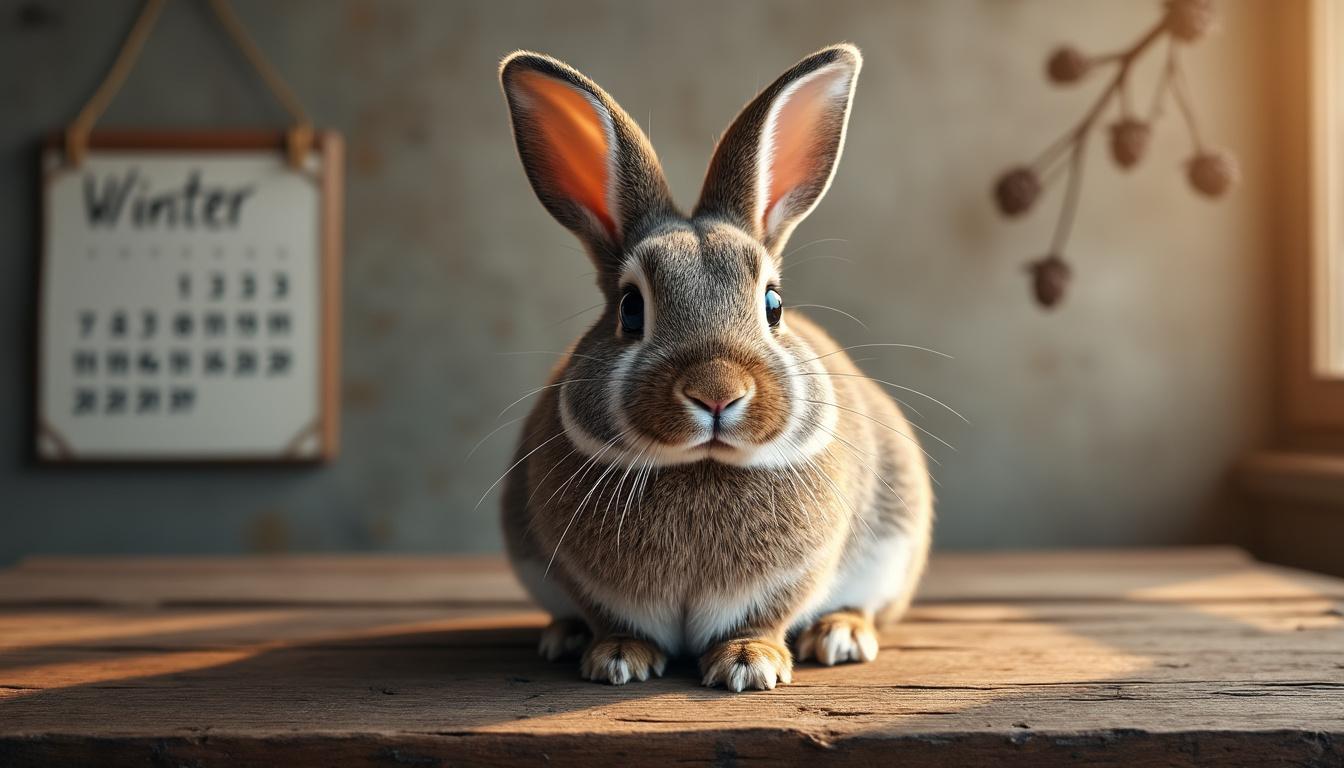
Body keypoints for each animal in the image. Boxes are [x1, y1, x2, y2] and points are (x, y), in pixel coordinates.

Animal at [496, 43, 933, 692]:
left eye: (774, 304)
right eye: (630, 310)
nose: (716, 393)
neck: (701, 463)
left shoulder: (797, 574)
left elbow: (765, 614)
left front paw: (750, 663)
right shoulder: (571, 565)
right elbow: (608, 615)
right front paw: (618, 657)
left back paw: (841, 636)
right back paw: (564, 636)